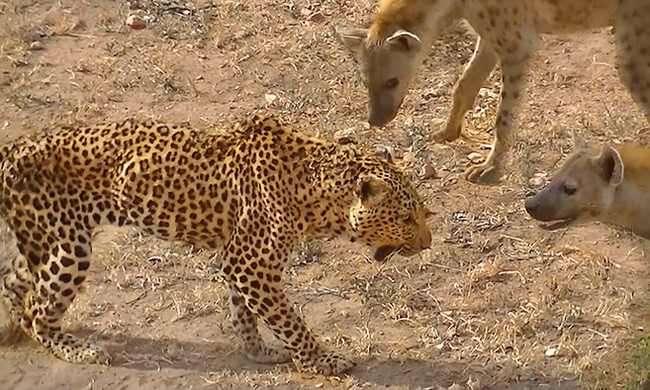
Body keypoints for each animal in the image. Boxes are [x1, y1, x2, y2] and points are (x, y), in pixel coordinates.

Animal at [0, 112, 430, 374]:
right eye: (406, 218)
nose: (427, 242)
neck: (316, 195)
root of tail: (13, 147)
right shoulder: (250, 263)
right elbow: (289, 320)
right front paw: (321, 360)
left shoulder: (240, 261)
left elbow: (244, 313)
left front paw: (258, 352)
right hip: (68, 249)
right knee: (37, 309)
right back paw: (78, 349)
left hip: (49, 238)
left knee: (14, 279)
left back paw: (8, 327)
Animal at [340, 0, 648, 184]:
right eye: (366, 82)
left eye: (392, 81)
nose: (375, 120)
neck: (451, 6)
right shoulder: (489, 35)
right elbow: (464, 84)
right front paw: (447, 132)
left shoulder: (516, 46)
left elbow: (504, 114)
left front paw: (489, 167)